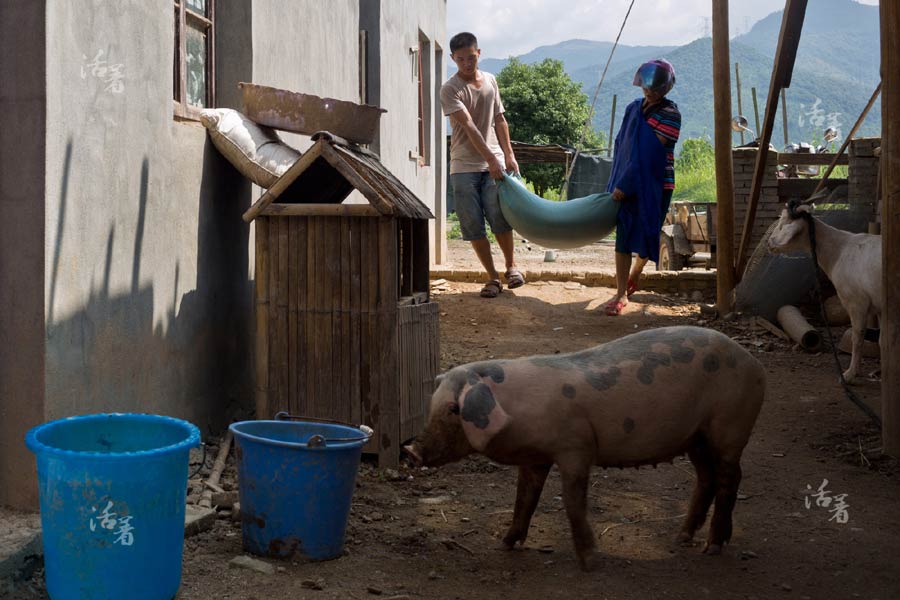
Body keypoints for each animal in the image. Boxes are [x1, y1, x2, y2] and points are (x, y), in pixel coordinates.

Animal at [408, 326, 768, 568]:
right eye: (433, 403)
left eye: (454, 408)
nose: (411, 451)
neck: (517, 411)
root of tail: (754, 362)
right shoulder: (535, 459)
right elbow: (524, 499)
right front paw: (504, 545)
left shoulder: (576, 448)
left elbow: (572, 502)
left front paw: (591, 561)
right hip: (696, 437)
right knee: (706, 479)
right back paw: (682, 538)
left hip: (730, 426)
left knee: (730, 479)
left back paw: (713, 547)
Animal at [768, 204, 884, 384]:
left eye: (782, 225)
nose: (769, 243)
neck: (837, 251)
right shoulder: (879, 306)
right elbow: (882, 341)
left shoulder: (856, 302)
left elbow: (857, 337)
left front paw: (850, 374)